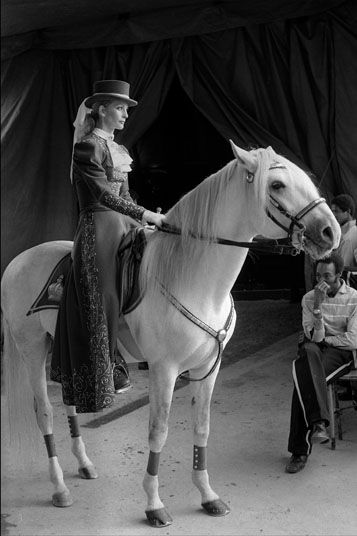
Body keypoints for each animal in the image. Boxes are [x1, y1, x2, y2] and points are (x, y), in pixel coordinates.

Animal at [0, 142, 340, 528]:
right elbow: (158, 432)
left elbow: (202, 427)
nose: (331, 232)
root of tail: (17, 261)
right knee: (44, 411)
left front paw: (208, 496)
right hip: (31, 349)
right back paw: (59, 488)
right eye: (278, 185)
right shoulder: (164, 370)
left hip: (67, 348)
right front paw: (154, 504)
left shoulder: (208, 368)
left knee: (69, 400)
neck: (193, 279)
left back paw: (84, 465)